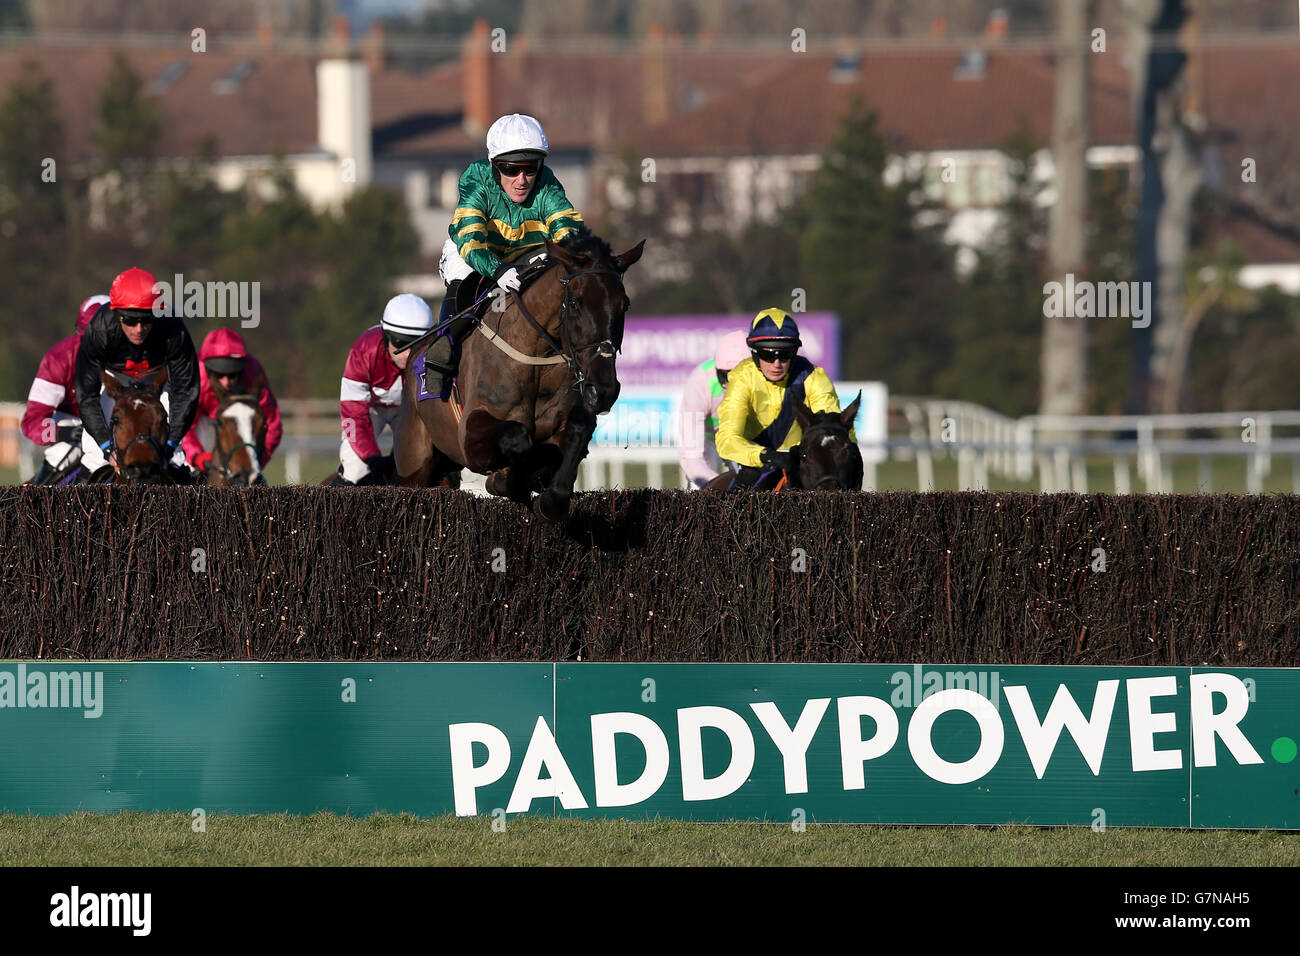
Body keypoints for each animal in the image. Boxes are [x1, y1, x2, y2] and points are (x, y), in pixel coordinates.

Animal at [392, 228, 642, 522]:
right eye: (574, 302)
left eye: (624, 304)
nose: (602, 390)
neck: (538, 357)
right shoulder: (469, 437)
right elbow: (518, 437)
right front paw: (506, 478)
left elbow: (577, 432)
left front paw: (546, 492)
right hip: (415, 463)